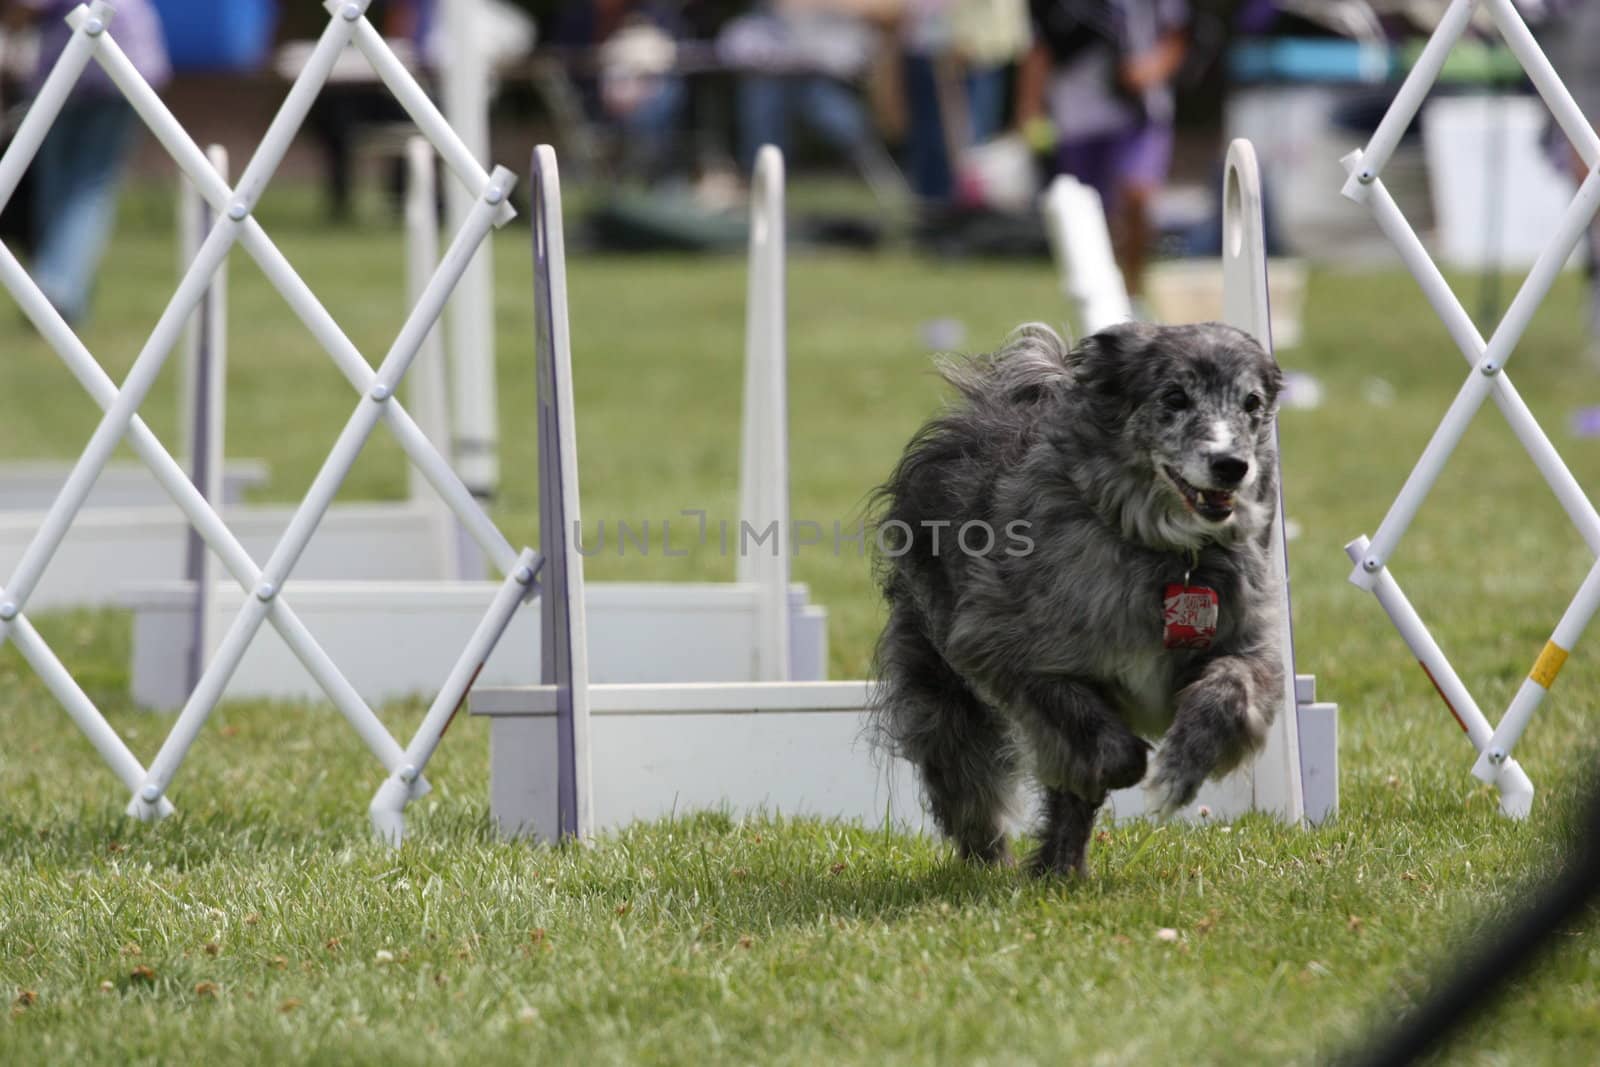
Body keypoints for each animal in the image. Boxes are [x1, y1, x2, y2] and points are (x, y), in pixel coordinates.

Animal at [870, 321, 1280, 883]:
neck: (1164, 553)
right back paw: (997, 860)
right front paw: (1127, 766)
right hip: (941, 683)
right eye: (1174, 397)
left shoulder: (1247, 644)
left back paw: (1058, 869)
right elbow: (1091, 732)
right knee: (965, 776)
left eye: (1251, 402)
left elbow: (1229, 690)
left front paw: (1179, 770)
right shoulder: (1001, 648)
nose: (1231, 466)